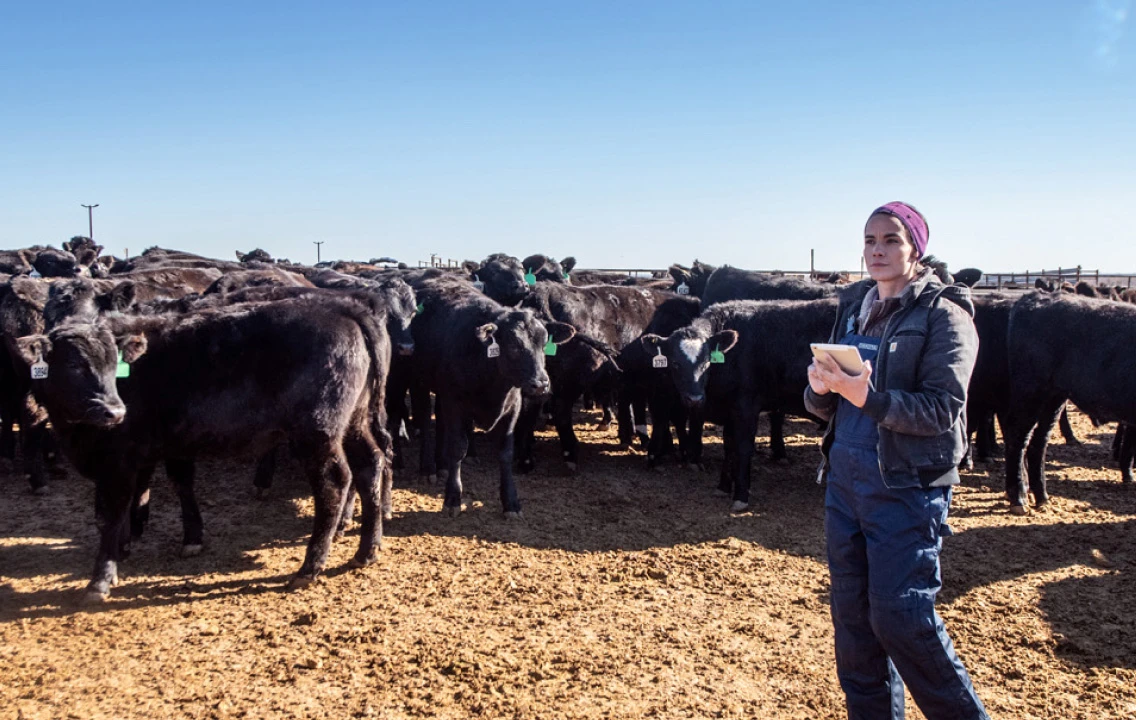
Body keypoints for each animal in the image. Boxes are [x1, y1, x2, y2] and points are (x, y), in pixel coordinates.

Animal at [23, 292, 395, 599]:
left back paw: (310, 566)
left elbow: (111, 513)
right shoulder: (162, 445)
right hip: (355, 421)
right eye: (72, 364)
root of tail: (343, 308)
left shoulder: (118, 458)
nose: (114, 411)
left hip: (317, 432)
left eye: (116, 364)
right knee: (370, 465)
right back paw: (366, 550)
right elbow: (173, 485)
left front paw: (101, 578)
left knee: (334, 482)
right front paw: (171, 539)